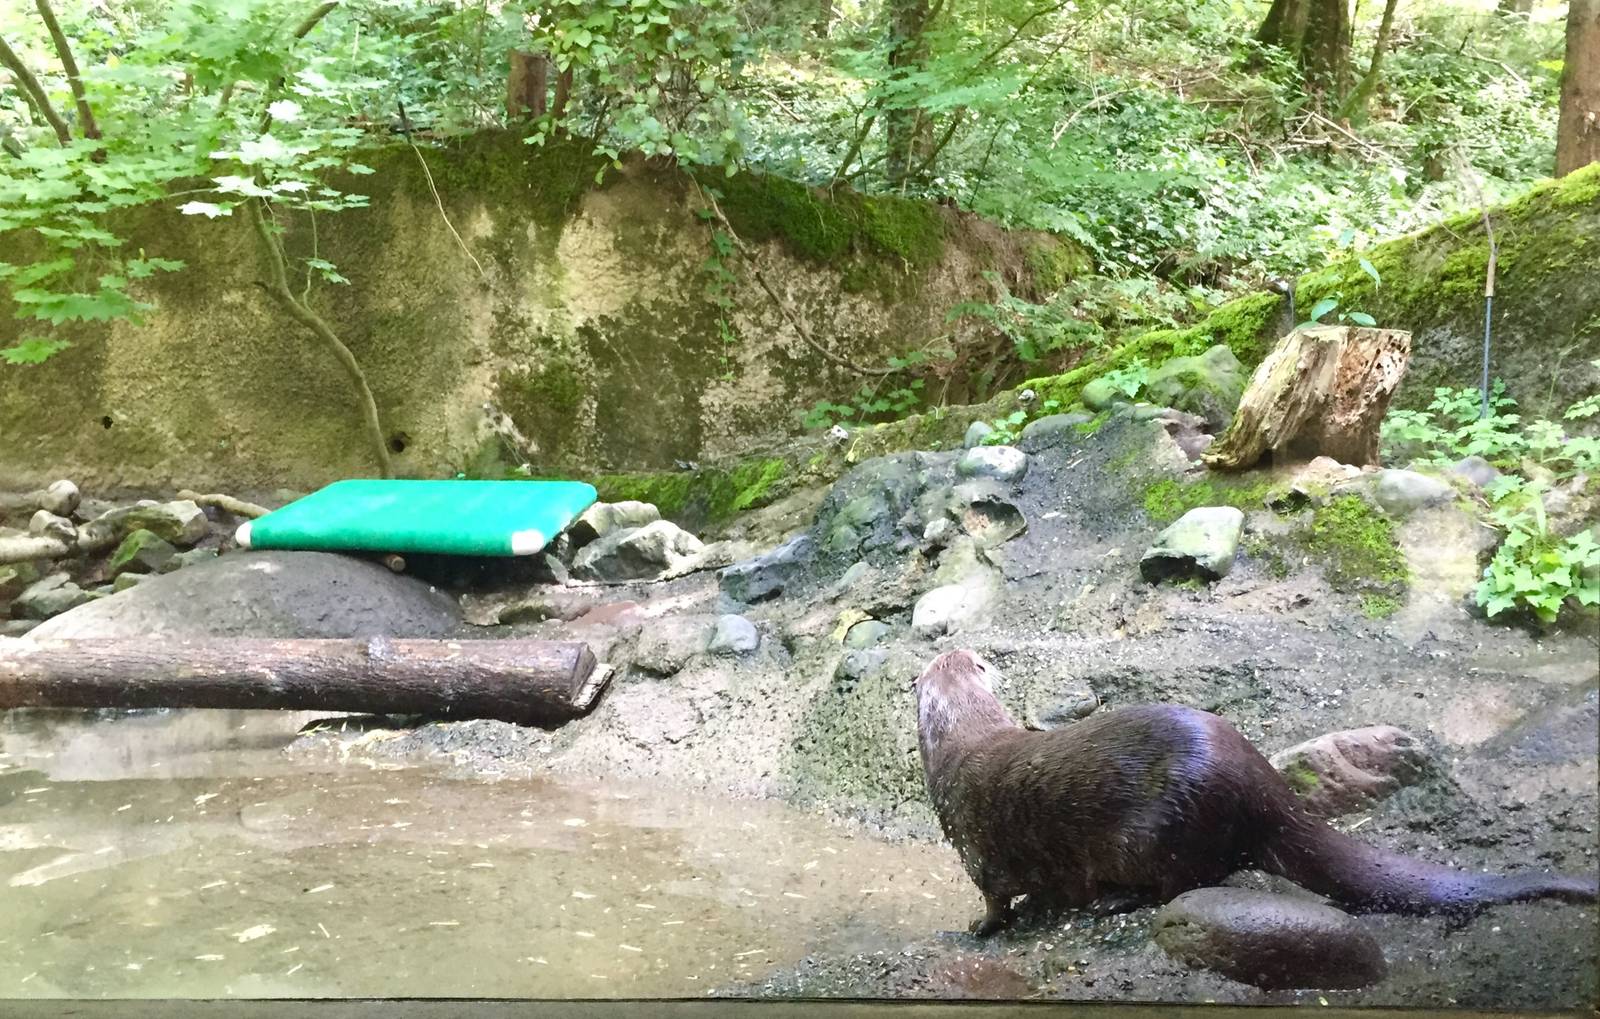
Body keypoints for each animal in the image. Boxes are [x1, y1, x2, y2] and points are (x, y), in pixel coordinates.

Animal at [915, 648, 1599, 935]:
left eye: (971, 657)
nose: (960, 645)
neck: (961, 746)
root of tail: (1262, 784)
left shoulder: (974, 844)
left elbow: (994, 897)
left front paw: (981, 928)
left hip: (1161, 828)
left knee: (1185, 881)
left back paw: (1115, 901)